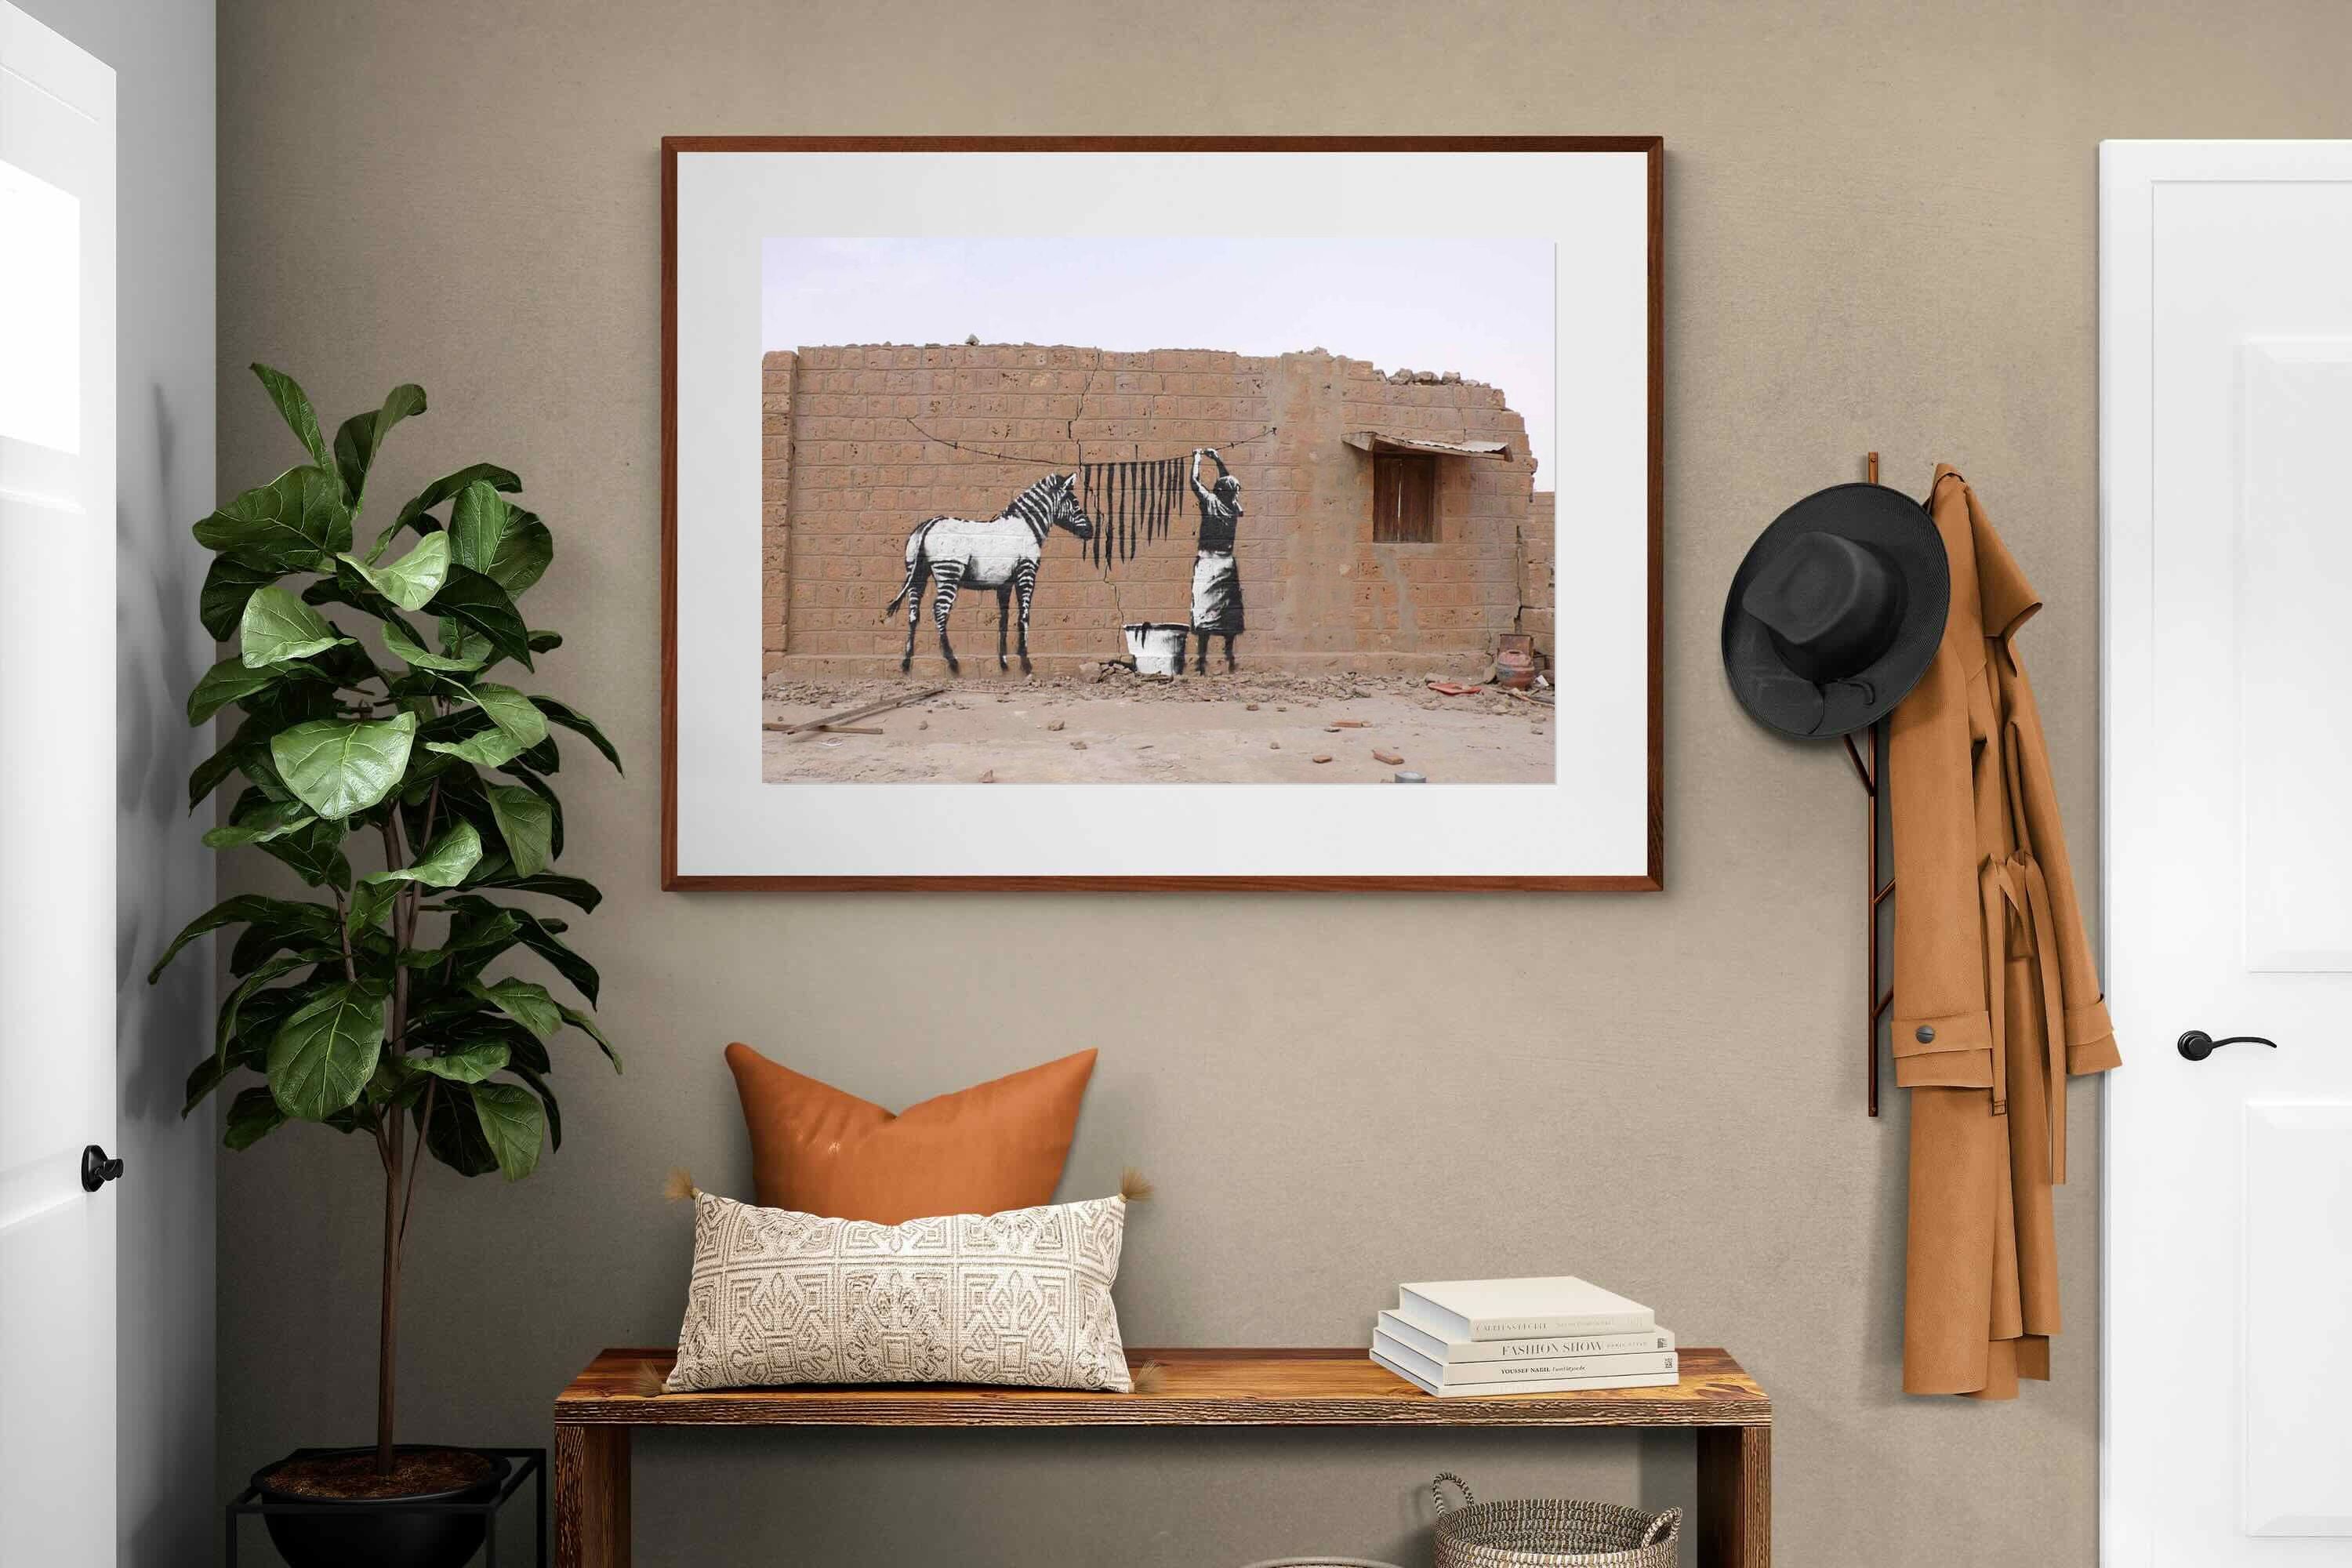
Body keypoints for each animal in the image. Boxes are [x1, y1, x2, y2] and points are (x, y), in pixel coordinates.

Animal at [879, 472, 1095, 676]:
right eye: (1075, 502)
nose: (1091, 531)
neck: (1026, 527)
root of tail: (929, 524)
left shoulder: (1005, 583)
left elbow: (1004, 619)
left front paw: (1004, 662)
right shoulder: (1027, 573)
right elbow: (1024, 616)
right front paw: (1025, 661)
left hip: (917, 573)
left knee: (913, 611)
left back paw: (907, 661)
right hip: (949, 571)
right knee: (940, 610)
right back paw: (952, 661)